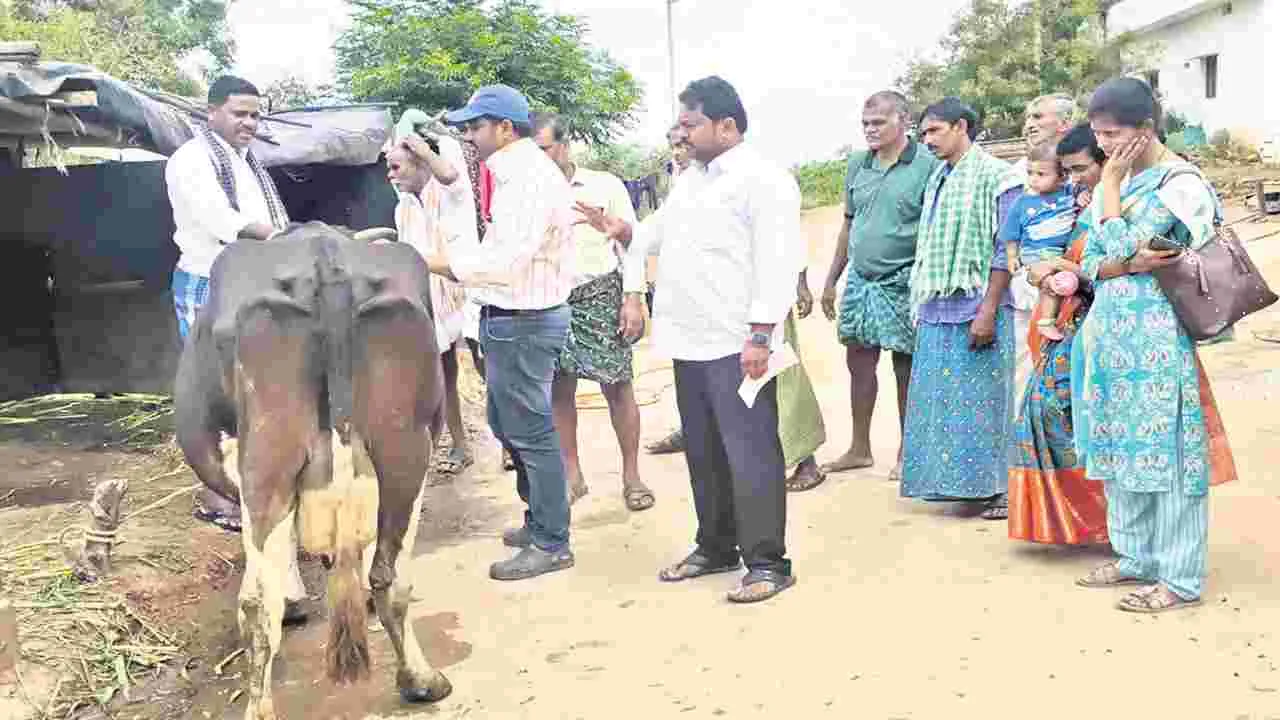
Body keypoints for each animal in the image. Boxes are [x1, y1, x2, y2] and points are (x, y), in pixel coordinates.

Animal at [174, 222, 455, 717]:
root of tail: (325, 256)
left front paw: (294, 597)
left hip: (266, 462)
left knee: (258, 603)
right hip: (406, 451)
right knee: (389, 576)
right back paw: (421, 681)